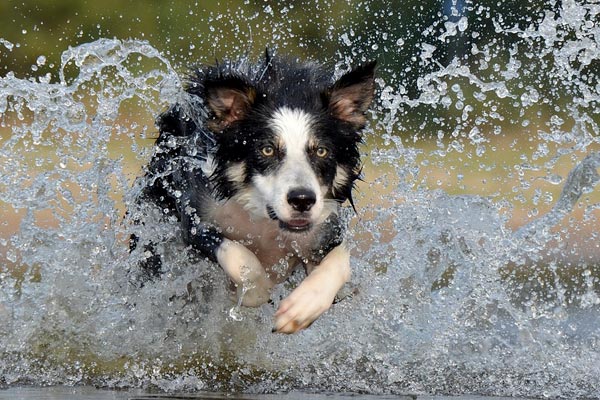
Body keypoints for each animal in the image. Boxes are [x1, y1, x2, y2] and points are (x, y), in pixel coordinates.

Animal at [130, 53, 376, 334]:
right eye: (267, 150)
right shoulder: (195, 217)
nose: (302, 200)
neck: (264, 221)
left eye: (322, 151)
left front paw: (302, 308)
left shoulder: (324, 229)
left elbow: (340, 262)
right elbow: (238, 255)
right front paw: (255, 290)